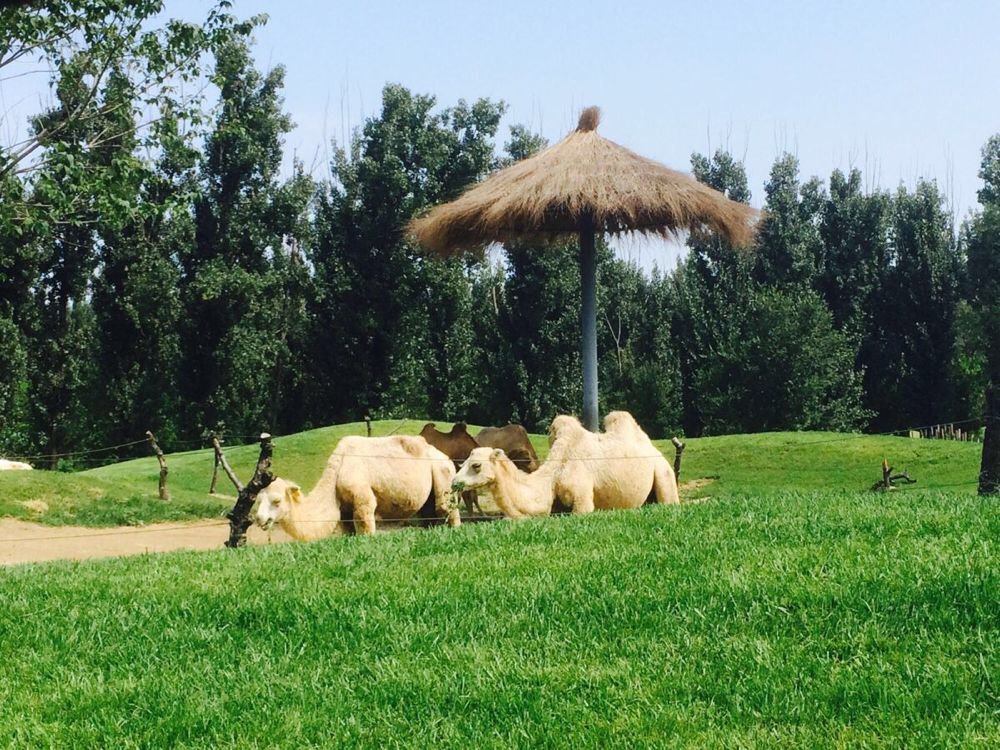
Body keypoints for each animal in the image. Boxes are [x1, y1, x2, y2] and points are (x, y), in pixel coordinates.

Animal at [256, 434, 462, 540]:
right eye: (257, 500)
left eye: (276, 501)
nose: (259, 519)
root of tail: (448, 459)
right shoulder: (345, 509)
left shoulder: (362, 498)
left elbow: (365, 524)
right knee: (429, 514)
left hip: (443, 473)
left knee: (446, 507)